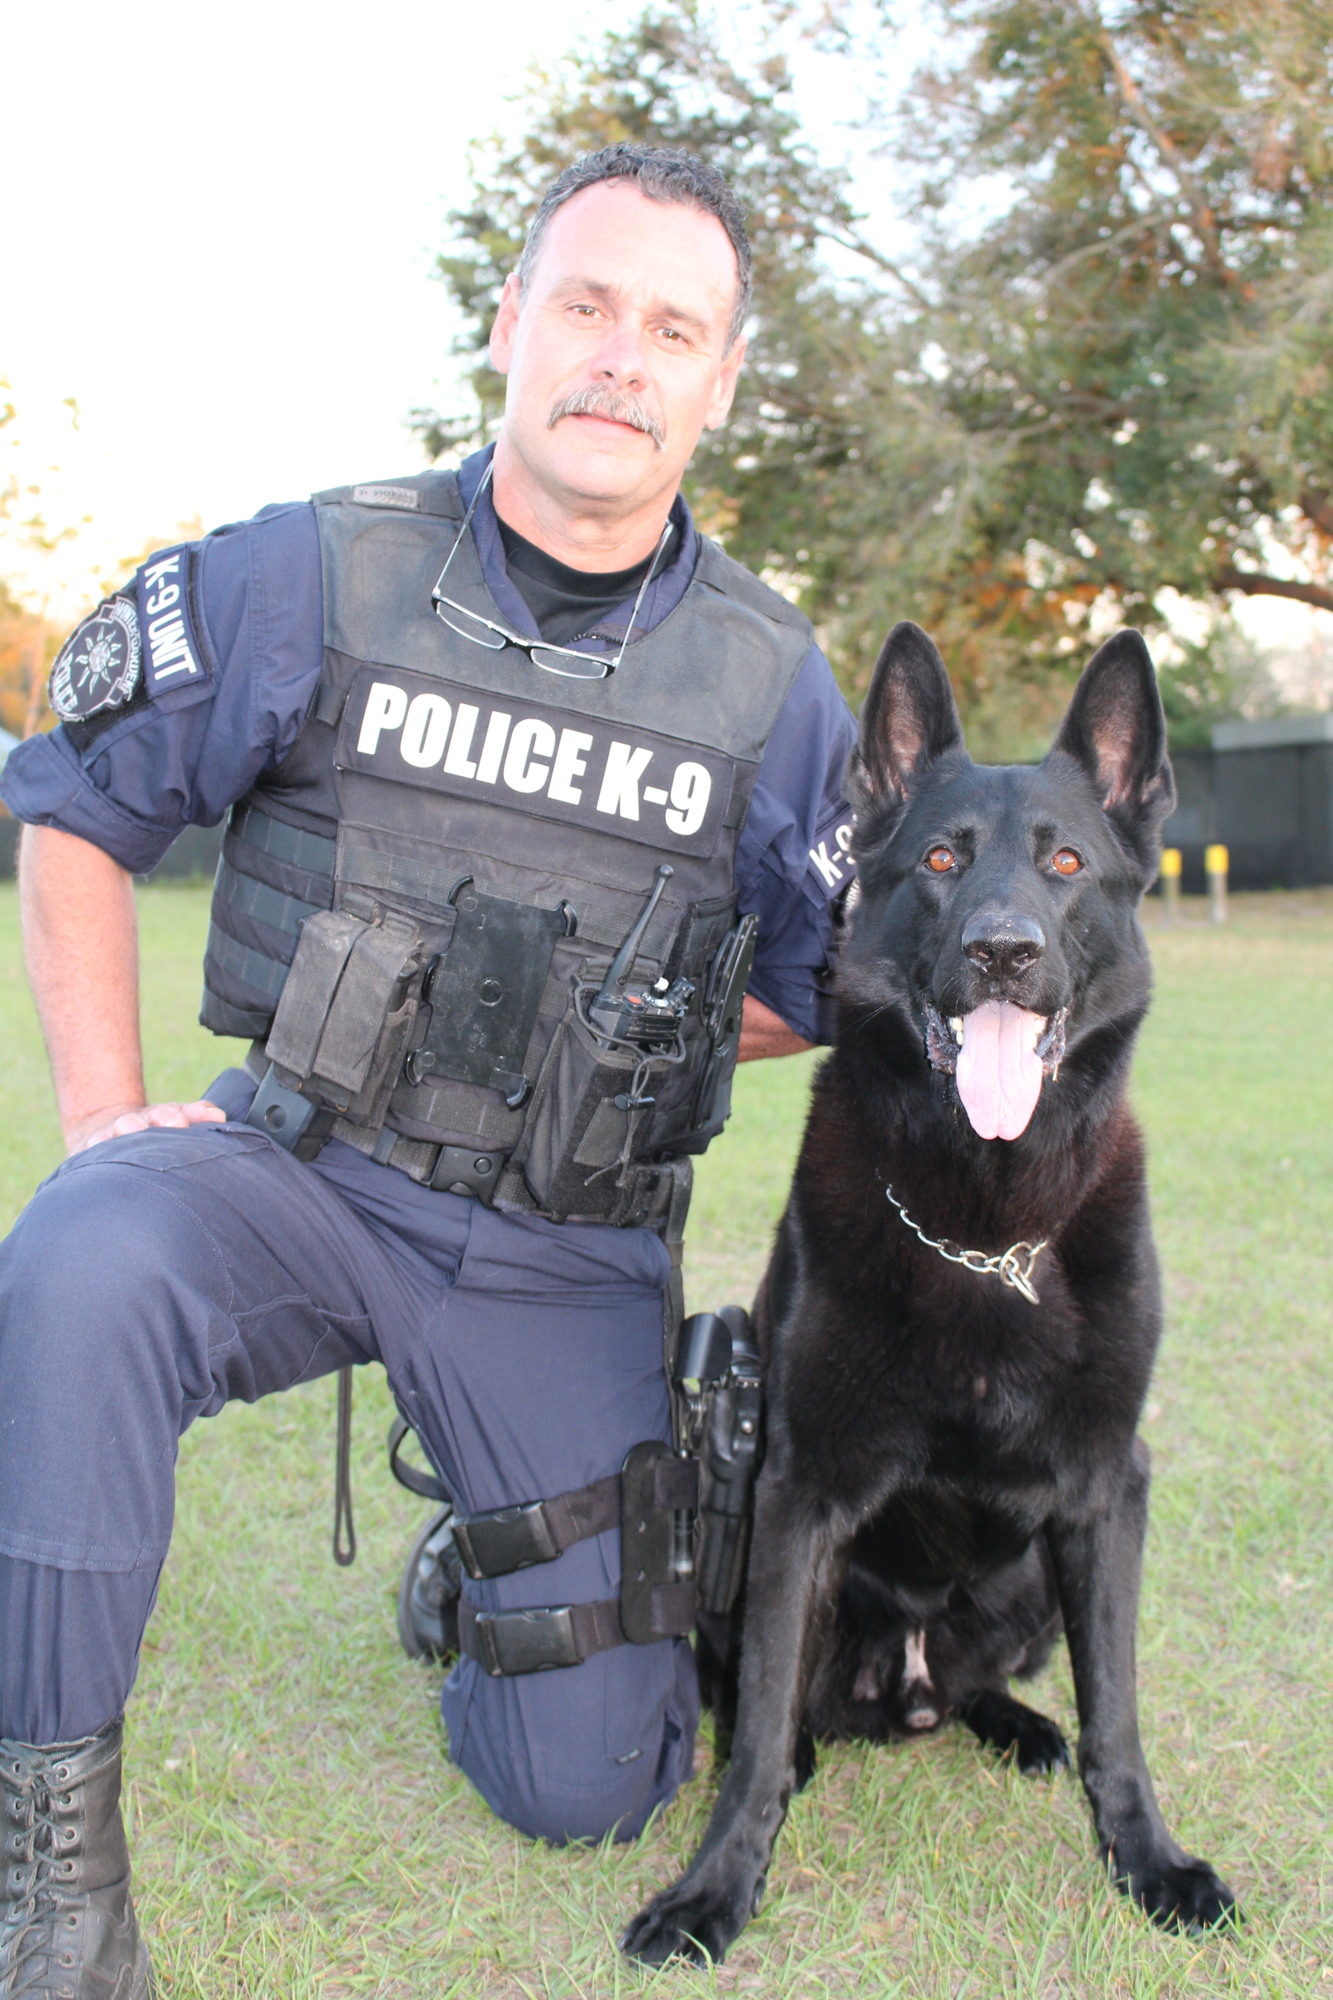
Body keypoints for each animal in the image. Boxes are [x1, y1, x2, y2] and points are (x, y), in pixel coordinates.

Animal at [624, 616, 1232, 1960]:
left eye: (1065, 861)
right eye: (943, 858)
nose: (1003, 949)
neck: (982, 1220)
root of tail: (898, 1682)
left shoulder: (1106, 1488)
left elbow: (1120, 1710)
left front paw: (1147, 1858)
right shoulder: (797, 1488)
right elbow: (754, 1738)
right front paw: (714, 1885)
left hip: (1029, 1581)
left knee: (988, 1689)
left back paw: (1021, 1724)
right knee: (771, 1705)